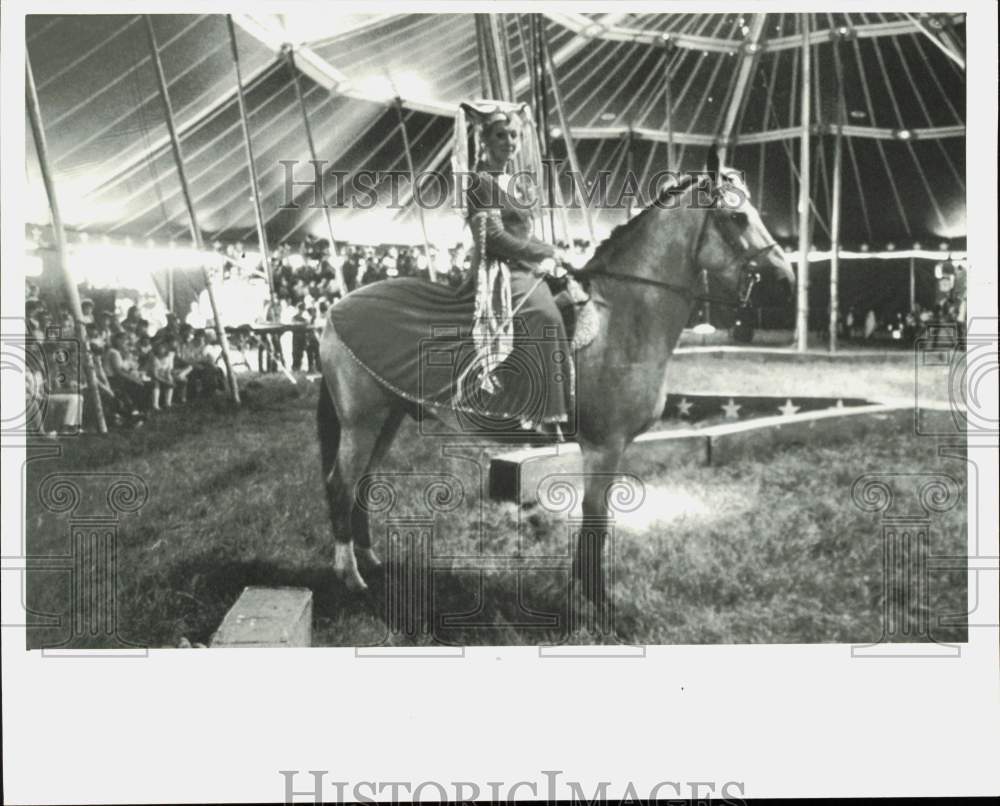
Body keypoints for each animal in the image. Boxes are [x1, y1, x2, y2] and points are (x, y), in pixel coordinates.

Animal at [316, 158, 792, 600]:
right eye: (737, 217)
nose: (784, 279)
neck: (622, 316)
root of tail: (336, 308)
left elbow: (594, 520)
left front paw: (582, 588)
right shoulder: (604, 446)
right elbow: (596, 520)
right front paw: (595, 601)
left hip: (389, 417)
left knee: (362, 485)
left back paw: (371, 561)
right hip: (361, 422)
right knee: (341, 485)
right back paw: (349, 576)